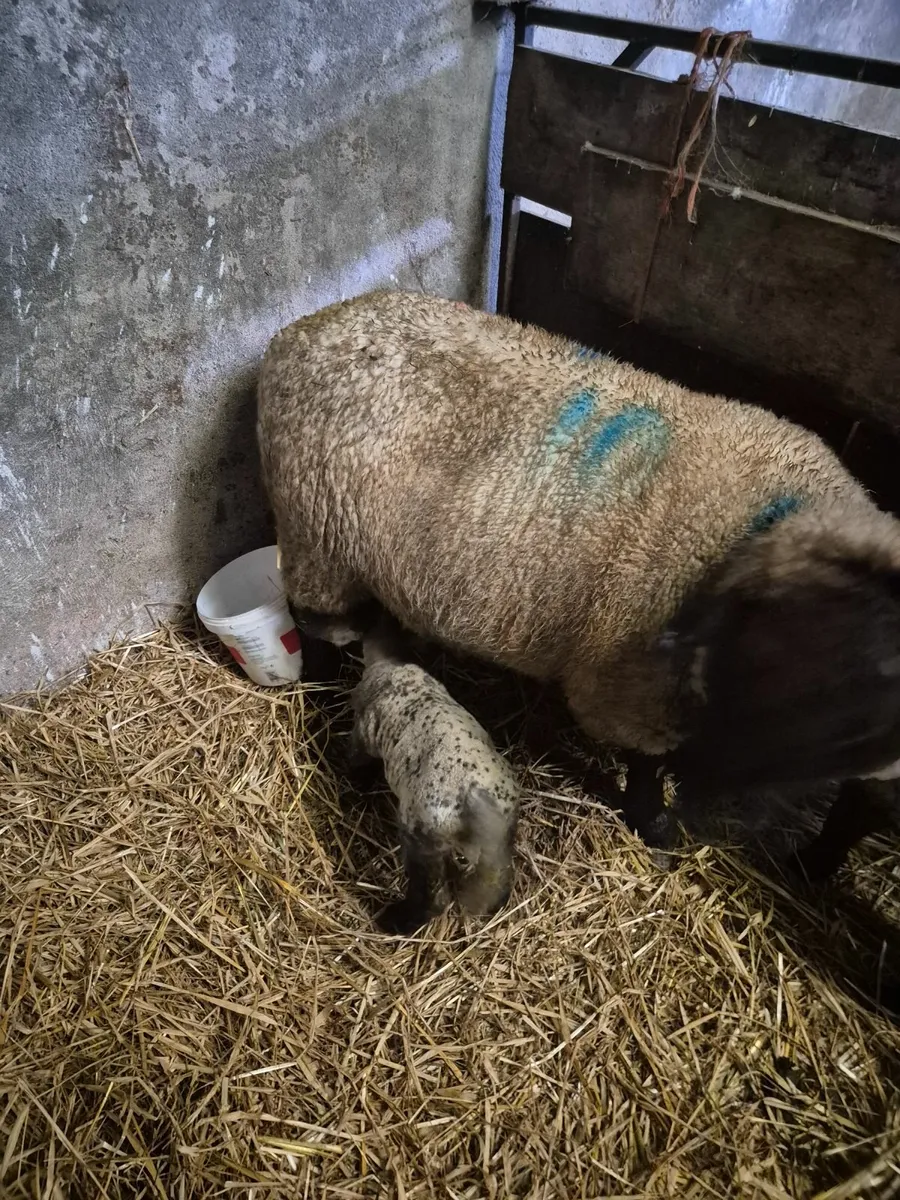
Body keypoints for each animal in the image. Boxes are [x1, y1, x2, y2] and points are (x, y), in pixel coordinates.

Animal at [257, 288, 900, 873]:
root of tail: (303, 328)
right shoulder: (631, 693)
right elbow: (644, 768)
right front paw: (655, 825)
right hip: (318, 536)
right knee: (315, 626)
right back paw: (322, 690)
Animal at [347, 616, 520, 934]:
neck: (390, 660)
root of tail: (474, 800)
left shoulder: (363, 731)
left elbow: (356, 761)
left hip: (423, 835)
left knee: (434, 897)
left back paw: (395, 920)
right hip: (500, 836)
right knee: (498, 875)